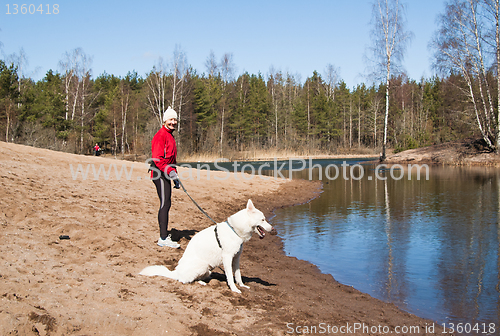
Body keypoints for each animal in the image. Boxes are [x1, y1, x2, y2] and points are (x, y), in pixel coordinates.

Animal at [139, 200, 276, 292]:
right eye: (263, 220)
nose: (273, 229)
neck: (234, 230)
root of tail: (176, 272)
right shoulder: (227, 258)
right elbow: (230, 277)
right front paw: (234, 289)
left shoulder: (236, 258)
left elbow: (237, 275)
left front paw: (242, 285)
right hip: (203, 265)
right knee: (184, 280)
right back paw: (198, 282)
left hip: (208, 269)